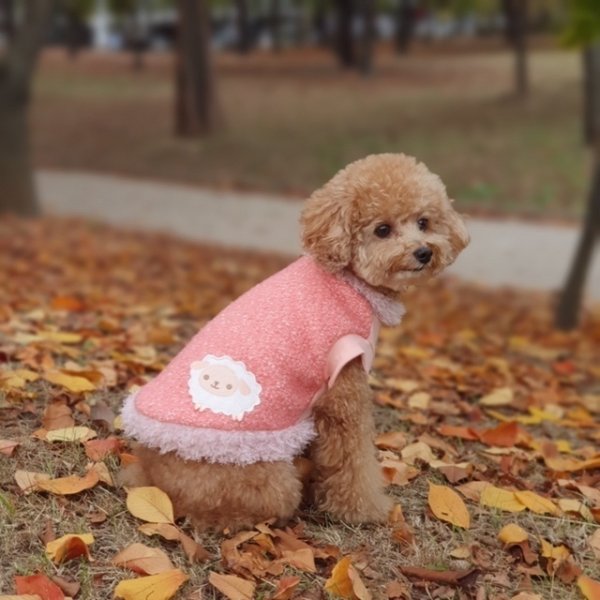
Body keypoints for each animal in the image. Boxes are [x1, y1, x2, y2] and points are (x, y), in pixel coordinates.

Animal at [120, 152, 468, 532]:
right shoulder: (344, 388)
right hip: (263, 480)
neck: (350, 281)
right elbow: (354, 462)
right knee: (220, 512)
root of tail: (149, 472)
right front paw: (365, 510)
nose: (423, 252)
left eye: (424, 222)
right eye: (382, 230)